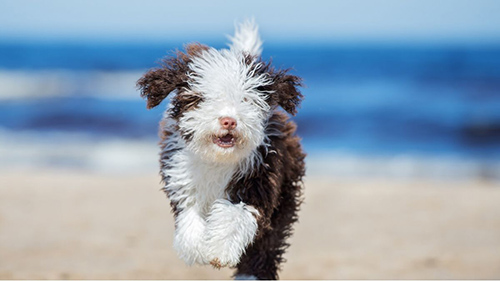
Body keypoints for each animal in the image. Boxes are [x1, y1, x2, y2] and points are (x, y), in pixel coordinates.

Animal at [139, 20, 306, 278]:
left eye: (247, 99)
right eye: (203, 98)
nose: (229, 121)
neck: (218, 158)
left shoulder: (258, 178)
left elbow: (235, 214)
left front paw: (220, 250)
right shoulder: (181, 176)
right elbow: (190, 214)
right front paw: (197, 247)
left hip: (285, 194)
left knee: (267, 245)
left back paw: (250, 276)